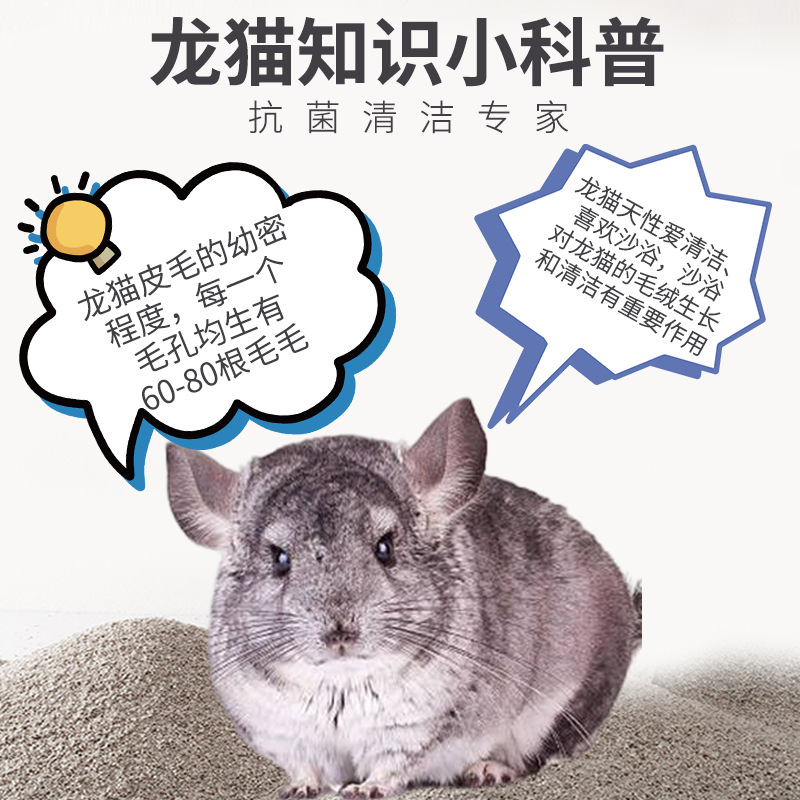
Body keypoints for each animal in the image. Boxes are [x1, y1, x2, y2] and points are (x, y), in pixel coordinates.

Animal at [167, 399, 641, 798]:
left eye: (385, 547)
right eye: (279, 558)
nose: (340, 631)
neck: (339, 684)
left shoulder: (415, 731)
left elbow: (392, 766)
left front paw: (364, 790)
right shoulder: (285, 735)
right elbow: (305, 768)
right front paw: (298, 790)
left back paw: (488, 770)